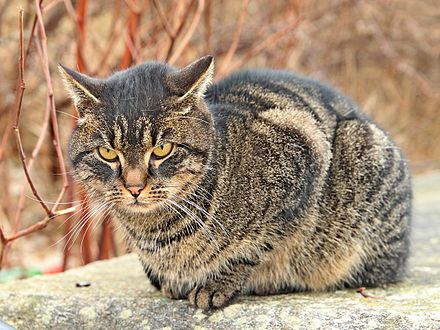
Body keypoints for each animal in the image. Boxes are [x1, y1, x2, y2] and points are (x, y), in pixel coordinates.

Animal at [59, 55, 412, 310]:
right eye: (107, 152)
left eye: (162, 149)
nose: (134, 187)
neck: (158, 233)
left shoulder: (301, 154)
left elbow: (255, 247)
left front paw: (218, 284)